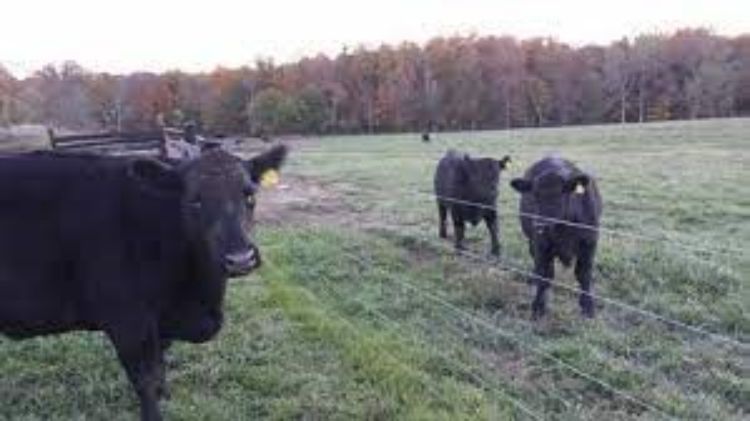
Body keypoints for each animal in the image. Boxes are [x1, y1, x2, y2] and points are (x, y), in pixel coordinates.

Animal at [0, 144, 288, 420]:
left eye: (249, 195)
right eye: (194, 200)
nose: (240, 259)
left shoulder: (159, 324)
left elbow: (160, 365)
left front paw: (166, 396)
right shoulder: (127, 321)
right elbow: (145, 379)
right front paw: (153, 413)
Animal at [512, 157, 604, 318]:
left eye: (560, 193)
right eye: (534, 194)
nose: (540, 224)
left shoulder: (589, 243)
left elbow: (584, 274)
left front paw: (588, 306)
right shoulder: (541, 245)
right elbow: (544, 275)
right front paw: (538, 306)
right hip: (532, 241)